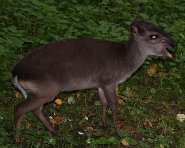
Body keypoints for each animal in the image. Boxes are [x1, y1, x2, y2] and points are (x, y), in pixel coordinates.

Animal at [11, 20, 176, 135]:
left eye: (160, 28)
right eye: (154, 36)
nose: (174, 43)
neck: (125, 60)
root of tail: (15, 73)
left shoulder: (101, 83)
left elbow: (104, 103)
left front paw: (104, 124)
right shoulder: (110, 80)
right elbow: (114, 105)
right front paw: (118, 129)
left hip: (42, 92)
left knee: (35, 110)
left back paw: (54, 131)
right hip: (47, 90)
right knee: (20, 108)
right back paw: (17, 138)